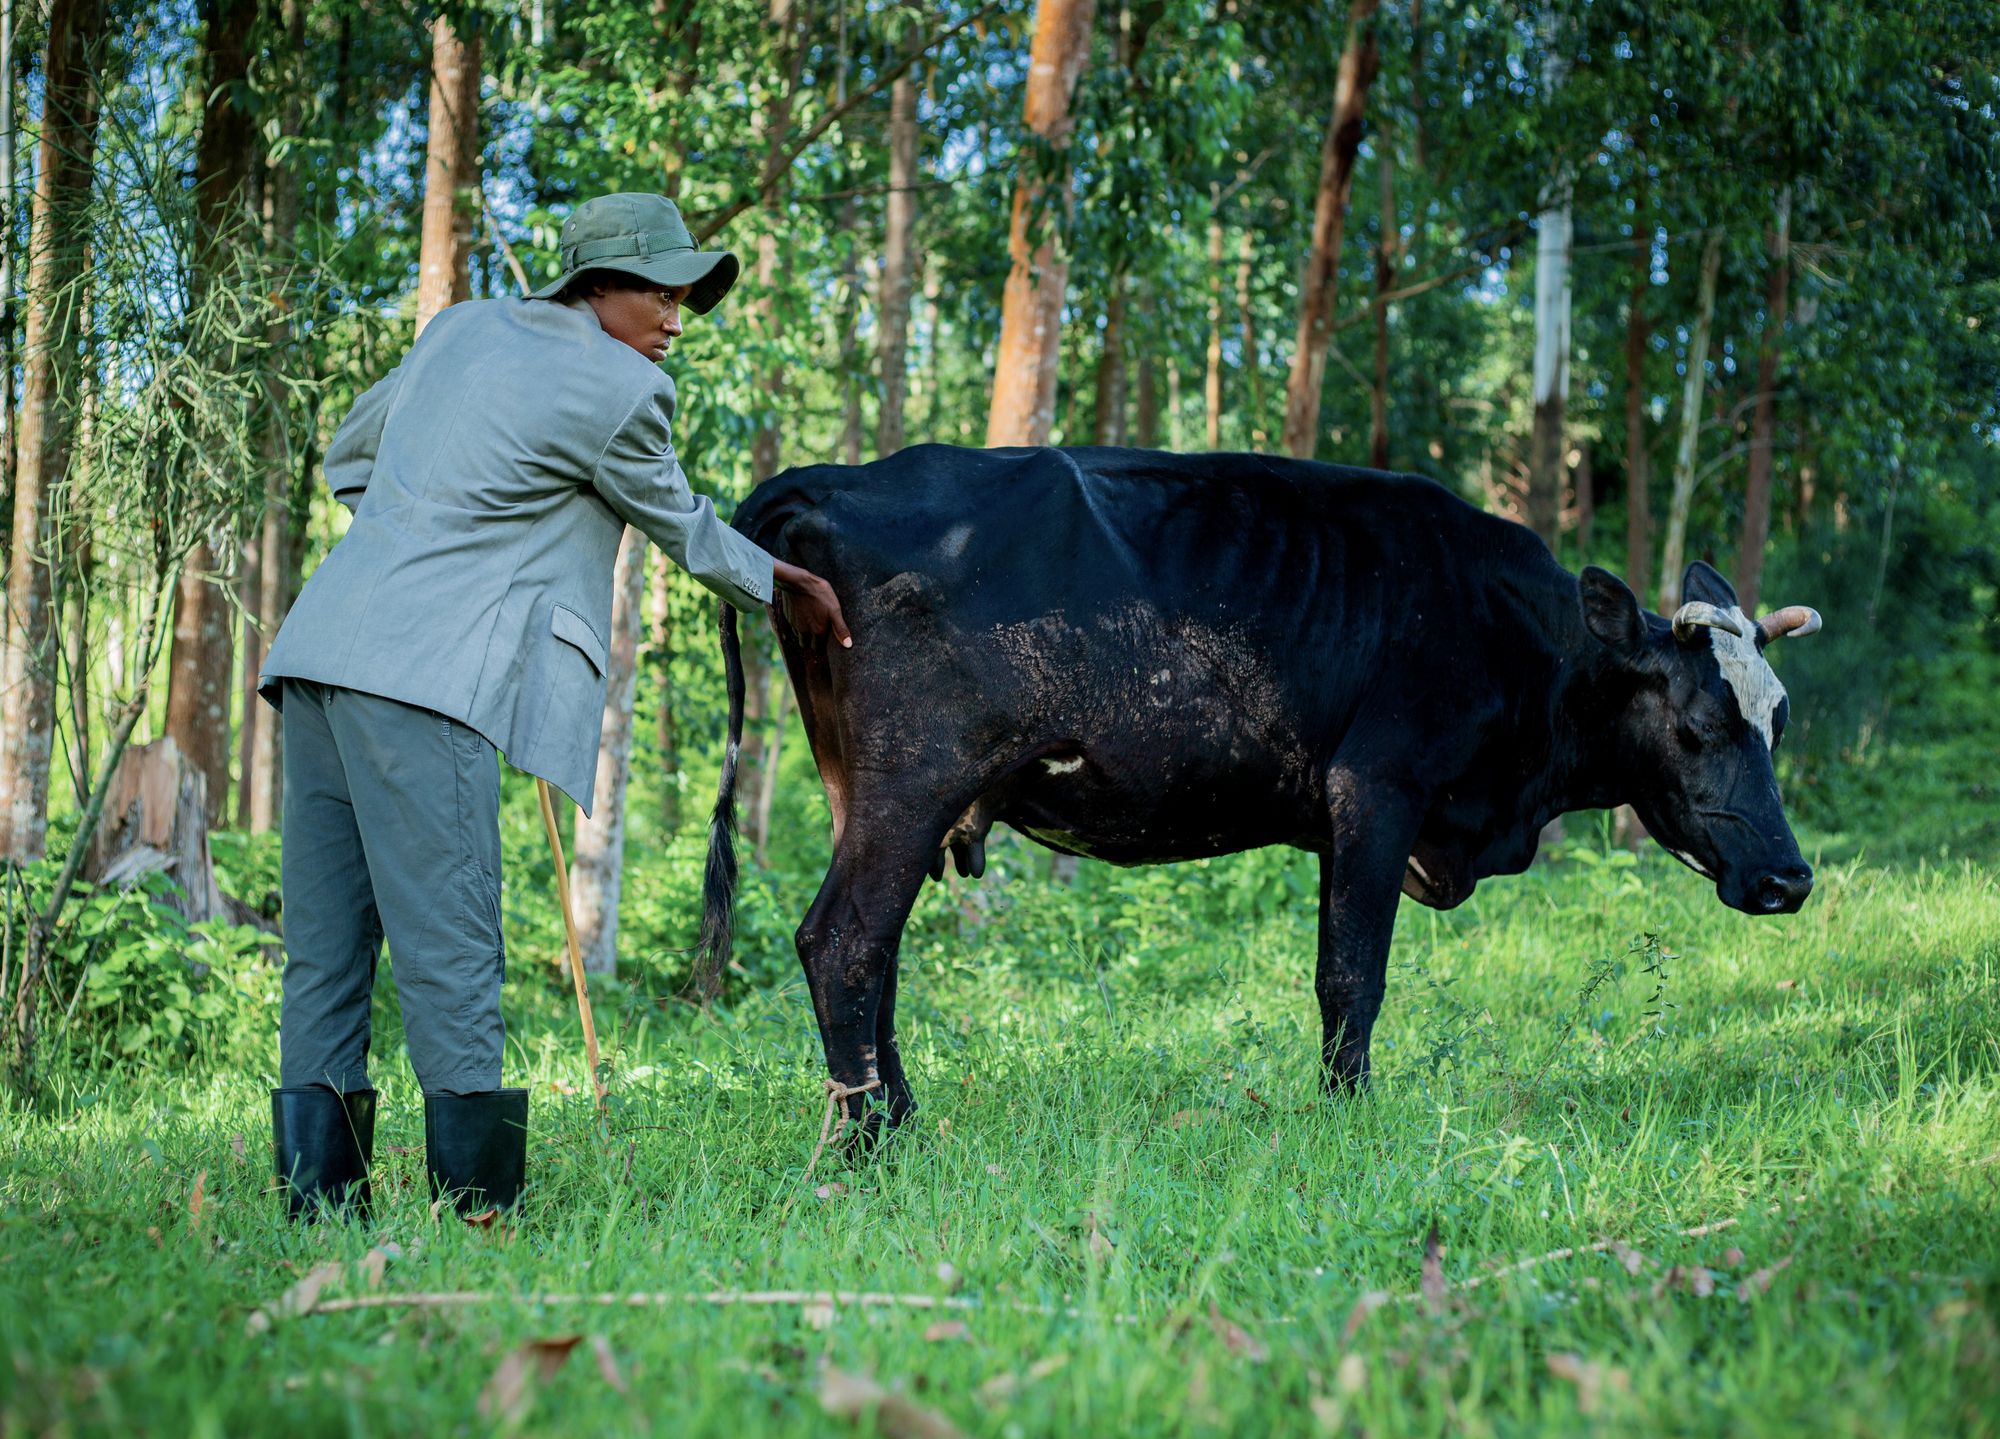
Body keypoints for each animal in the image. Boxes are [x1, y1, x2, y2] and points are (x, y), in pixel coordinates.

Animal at [697, 445, 1821, 1139]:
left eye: (1778, 719)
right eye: (1697, 726)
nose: (1788, 878)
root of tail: (831, 480)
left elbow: (1336, 969)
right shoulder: (1378, 788)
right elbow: (1352, 976)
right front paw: (1349, 1116)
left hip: (864, 786)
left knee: (872, 950)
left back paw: (895, 1117)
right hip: (916, 777)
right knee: (845, 937)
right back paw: (869, 1143)